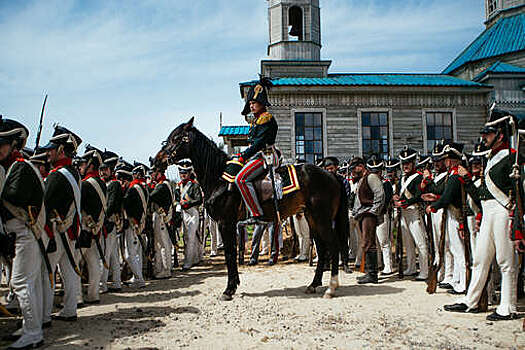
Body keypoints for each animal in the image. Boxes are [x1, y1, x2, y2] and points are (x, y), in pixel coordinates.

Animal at [154, 119, 346, 300]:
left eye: (176, 139)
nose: (156, 160)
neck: (219, 178)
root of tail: (331, 175)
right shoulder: (230, 224)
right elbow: (232, 253)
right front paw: (233, 285)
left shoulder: (225, 223)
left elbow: (230, 253)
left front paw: (229, 289)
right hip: (312, 217)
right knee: (321, 247)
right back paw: (314, 284)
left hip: (322, 219)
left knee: (333, 245)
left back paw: (331, 287)